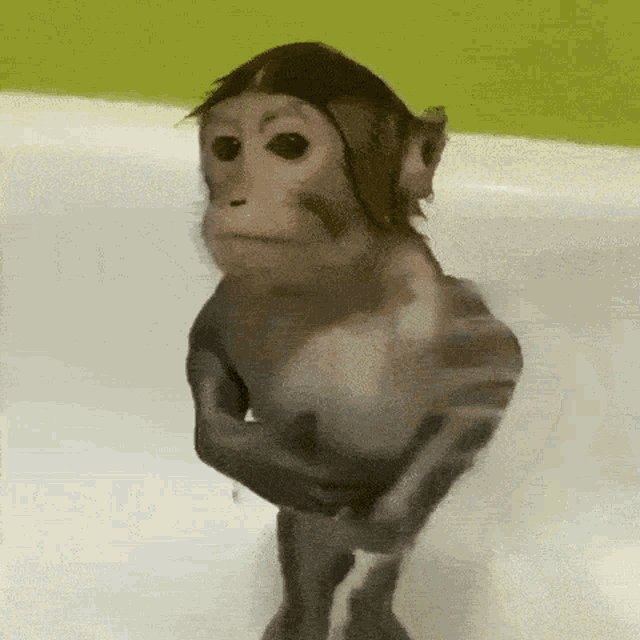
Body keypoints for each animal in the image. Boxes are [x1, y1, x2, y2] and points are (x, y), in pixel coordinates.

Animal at [185, 43, 523, 640]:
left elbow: (496, 372)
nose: (235, 199)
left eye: (288, 146)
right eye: (226, 149)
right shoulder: (236, 293)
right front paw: (248, 454)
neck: (333, 287)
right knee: (306, 557)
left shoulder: (435, 310)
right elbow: (208, 346)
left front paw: (388, 520)